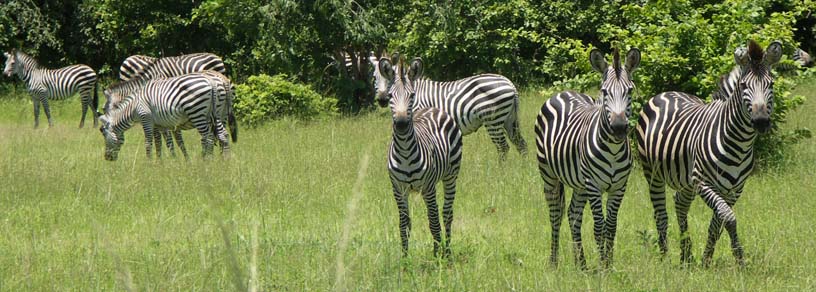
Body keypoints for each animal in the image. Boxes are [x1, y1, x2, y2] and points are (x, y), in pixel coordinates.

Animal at [372, 53, 524, 161]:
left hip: (493, 120)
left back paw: (502, 173)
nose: (381, 100)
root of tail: (509, 83)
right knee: (520, 143)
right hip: (508, 119)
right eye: (374, 77)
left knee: (503, 147)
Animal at [380, 56, 462, 256]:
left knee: (446, 214)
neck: (405, 152)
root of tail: (433, 108)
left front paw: (438, 257)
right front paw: (404, 257)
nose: (402, 124)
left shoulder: (428, 187)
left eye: (411, 96)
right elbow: (404, 224)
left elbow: (433, 222)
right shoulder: (398, 189)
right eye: (390, 96)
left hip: (450, 176)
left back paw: (447, 251)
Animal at [536, 48, 644, 270]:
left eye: (629, 91)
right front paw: (602, 267)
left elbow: (611, 226)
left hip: (580, 184)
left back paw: (581, 264)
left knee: (573, 215)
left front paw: (609, 265)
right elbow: (599, 227)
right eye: (604, 92)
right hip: (549, 175)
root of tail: (564, 92)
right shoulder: (594, 185)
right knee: (555, 215)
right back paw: (554, 261)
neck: (613, 149)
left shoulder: (619, 186)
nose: (619, 128)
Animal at [636, 40, 780, 266]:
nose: (761, 122)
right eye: (743, 86)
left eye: (771, 84)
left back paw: (686, 255)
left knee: (680, 203)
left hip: (686, 180)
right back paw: (665, 256)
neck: (739, 143)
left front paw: (706, 259)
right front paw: (739, 258)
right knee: (660, 214)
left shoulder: (735, 189)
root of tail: (665, 93)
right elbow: (728, 217)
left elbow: (717, 222)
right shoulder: (703, 182)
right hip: (653, 174)